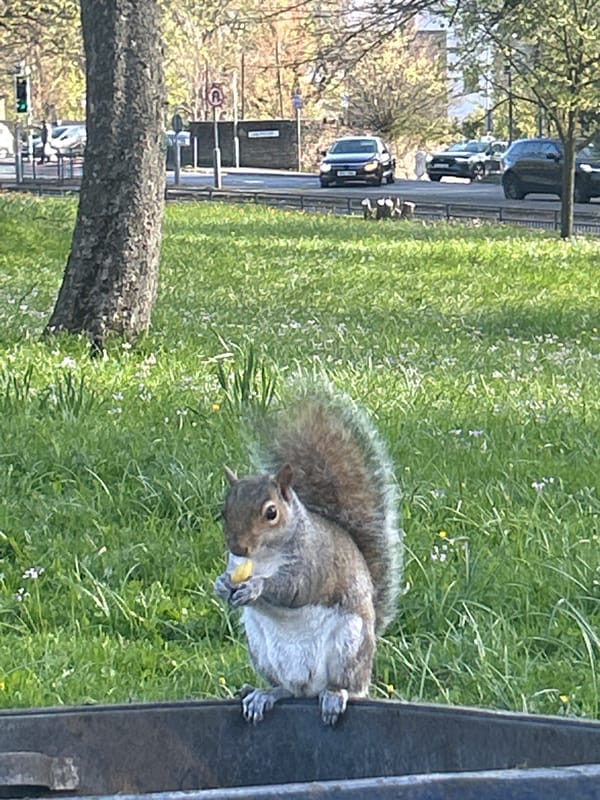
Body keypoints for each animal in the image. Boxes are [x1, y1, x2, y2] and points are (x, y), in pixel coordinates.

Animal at [214, 392, 402, 726]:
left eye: (271, 513)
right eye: (224, 512)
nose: (239, 547)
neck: (264, 557)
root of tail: (310, 687)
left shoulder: (313, 564)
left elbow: (293, 590)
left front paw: (256, 587)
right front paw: (222, 585)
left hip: (349, 645)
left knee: (348, 686)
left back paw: (335, 696)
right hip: (262, 649)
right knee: (287, 689)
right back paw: (266, 695)